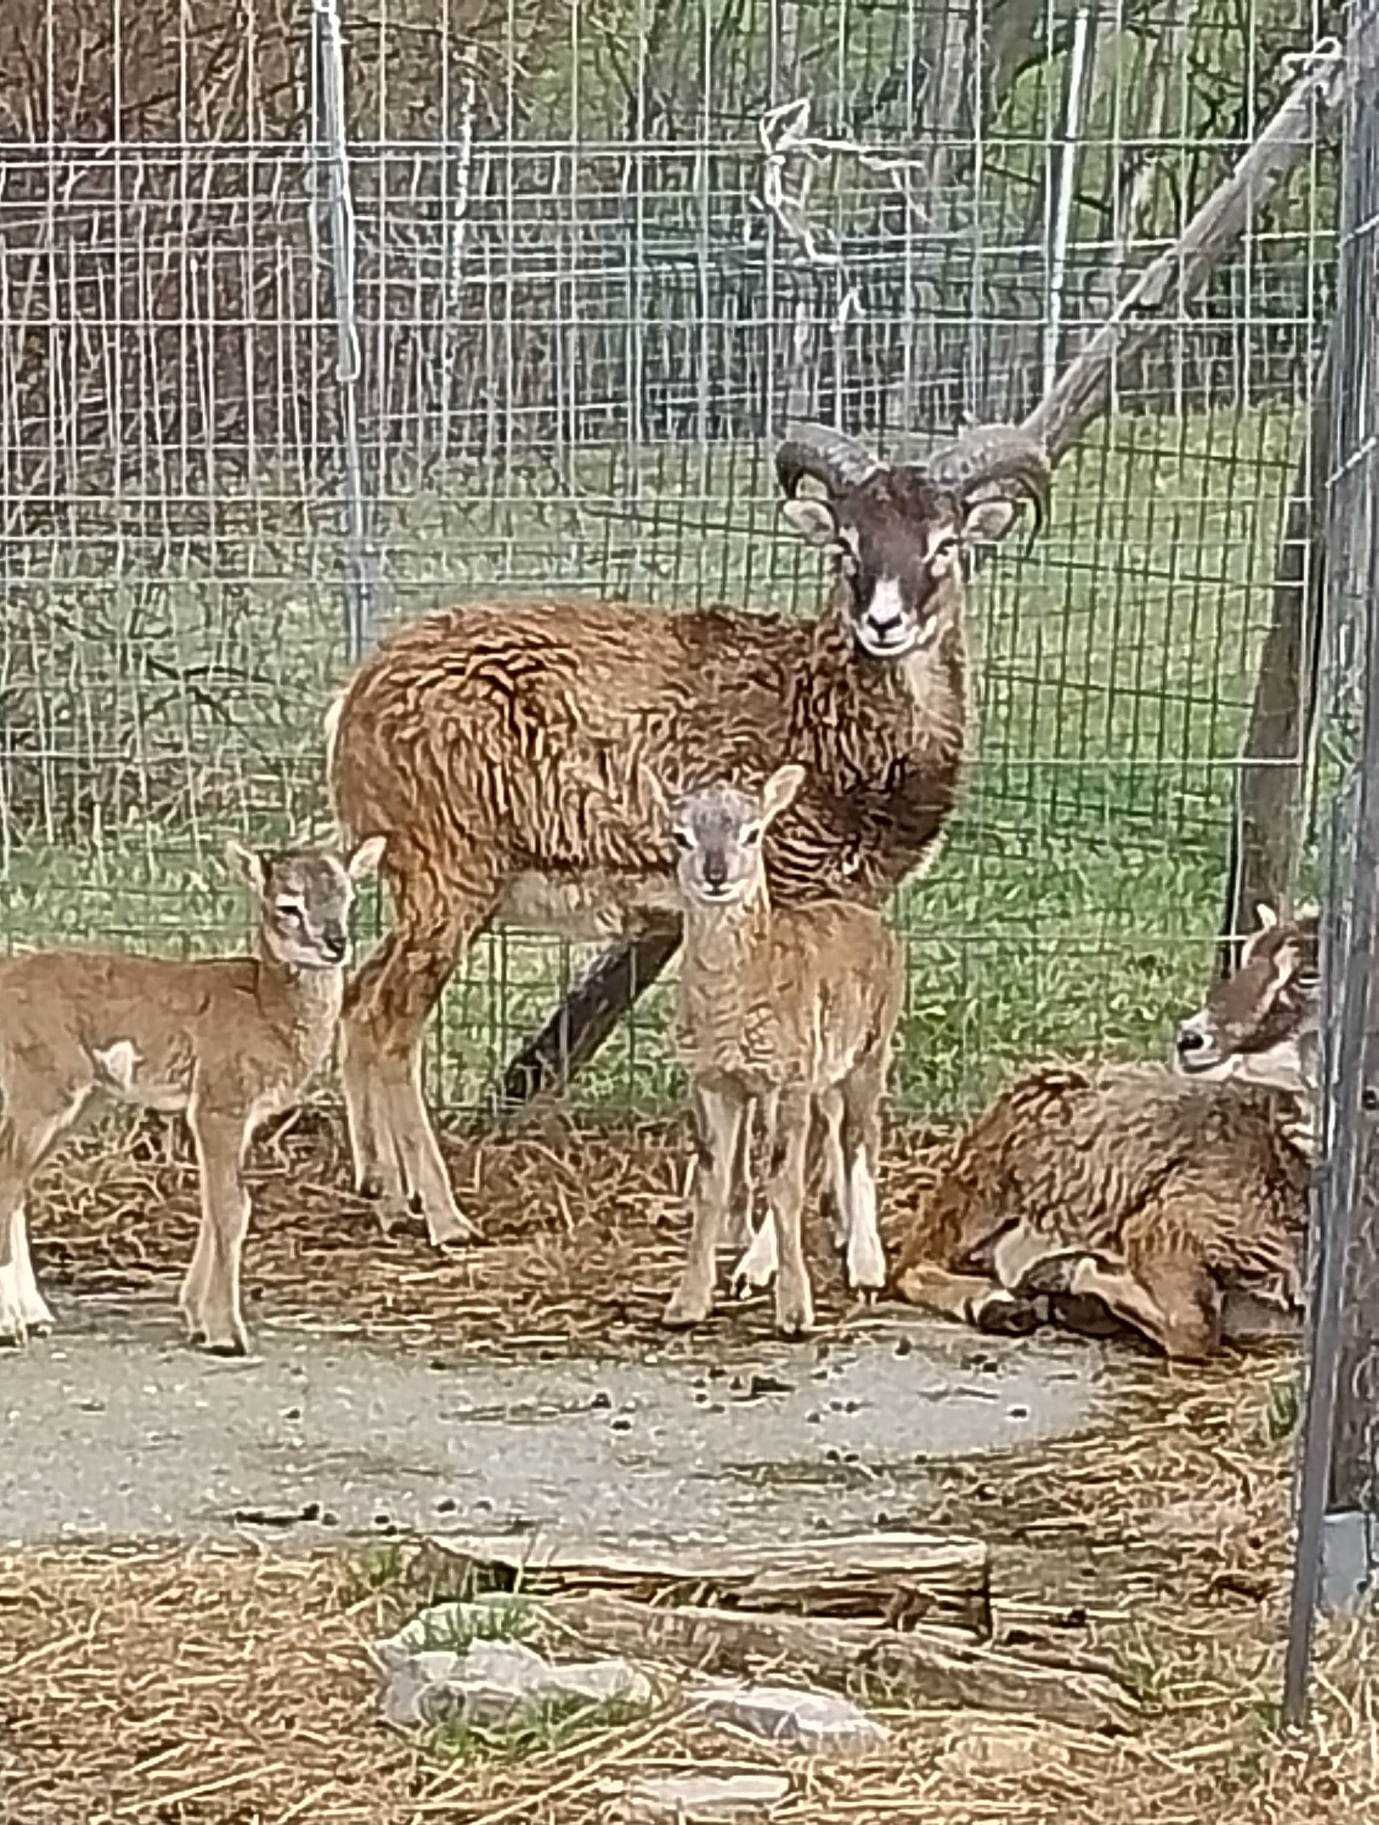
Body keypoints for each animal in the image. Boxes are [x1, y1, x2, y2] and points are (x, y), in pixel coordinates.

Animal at [0, 839, 383, 1357]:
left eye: (349, 898)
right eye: (289, 906)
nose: (336, 944)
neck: (265, 1011)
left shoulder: (232, 1114)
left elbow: (214, 1203)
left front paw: (196, 1318)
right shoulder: (220, 1099)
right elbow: (232, 1207)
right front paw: (227, 1334)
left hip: (82, 1099)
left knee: (20, 1182)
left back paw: (35, 1316)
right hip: (42, 1084)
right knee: (8, 1178)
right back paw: (10, 1325)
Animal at [328, 417, 1050, 1241]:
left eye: (945, 543)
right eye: (845, 546)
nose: (883, 622)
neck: (820, 720)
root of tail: (357, 701)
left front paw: (837, 1220)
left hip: (421, 890)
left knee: (358, 1002)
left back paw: (385, 1194)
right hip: (448, 880)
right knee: (389, 1022)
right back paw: (444, 1216)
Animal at [656, 762, 904, 1335]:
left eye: (752, 833)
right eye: (681, 837)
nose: (717, 873)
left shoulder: (786, 1072)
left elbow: (784, 1183)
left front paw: (794, 1313)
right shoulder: (711, 1078)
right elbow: (712, 1182)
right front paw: (685, 1305)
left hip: (871, 1046)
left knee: (862, 1136)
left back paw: (865, 1265)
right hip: (819, 1071)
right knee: (825, 1132)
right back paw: (782, 1254)